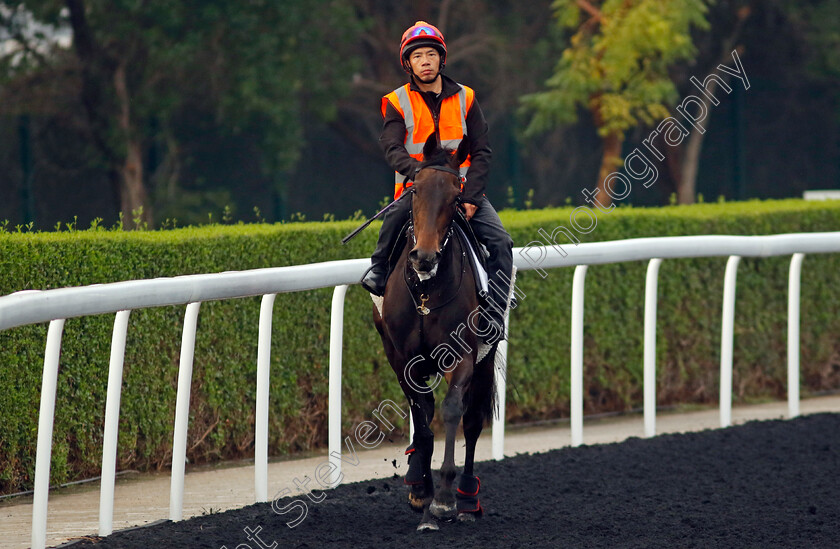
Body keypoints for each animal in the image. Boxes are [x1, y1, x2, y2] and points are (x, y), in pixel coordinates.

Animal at [372, 131, 498, 528]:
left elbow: (452, 410)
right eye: (415, 190)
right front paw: (420, 487)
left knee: (473, 421)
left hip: (487, 356)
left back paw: (468, 497)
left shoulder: (464, 354)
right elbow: (421, 414)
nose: (424, 257)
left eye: (457, 196)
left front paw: (443, 497)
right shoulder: (402, 358)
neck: (427, 289)